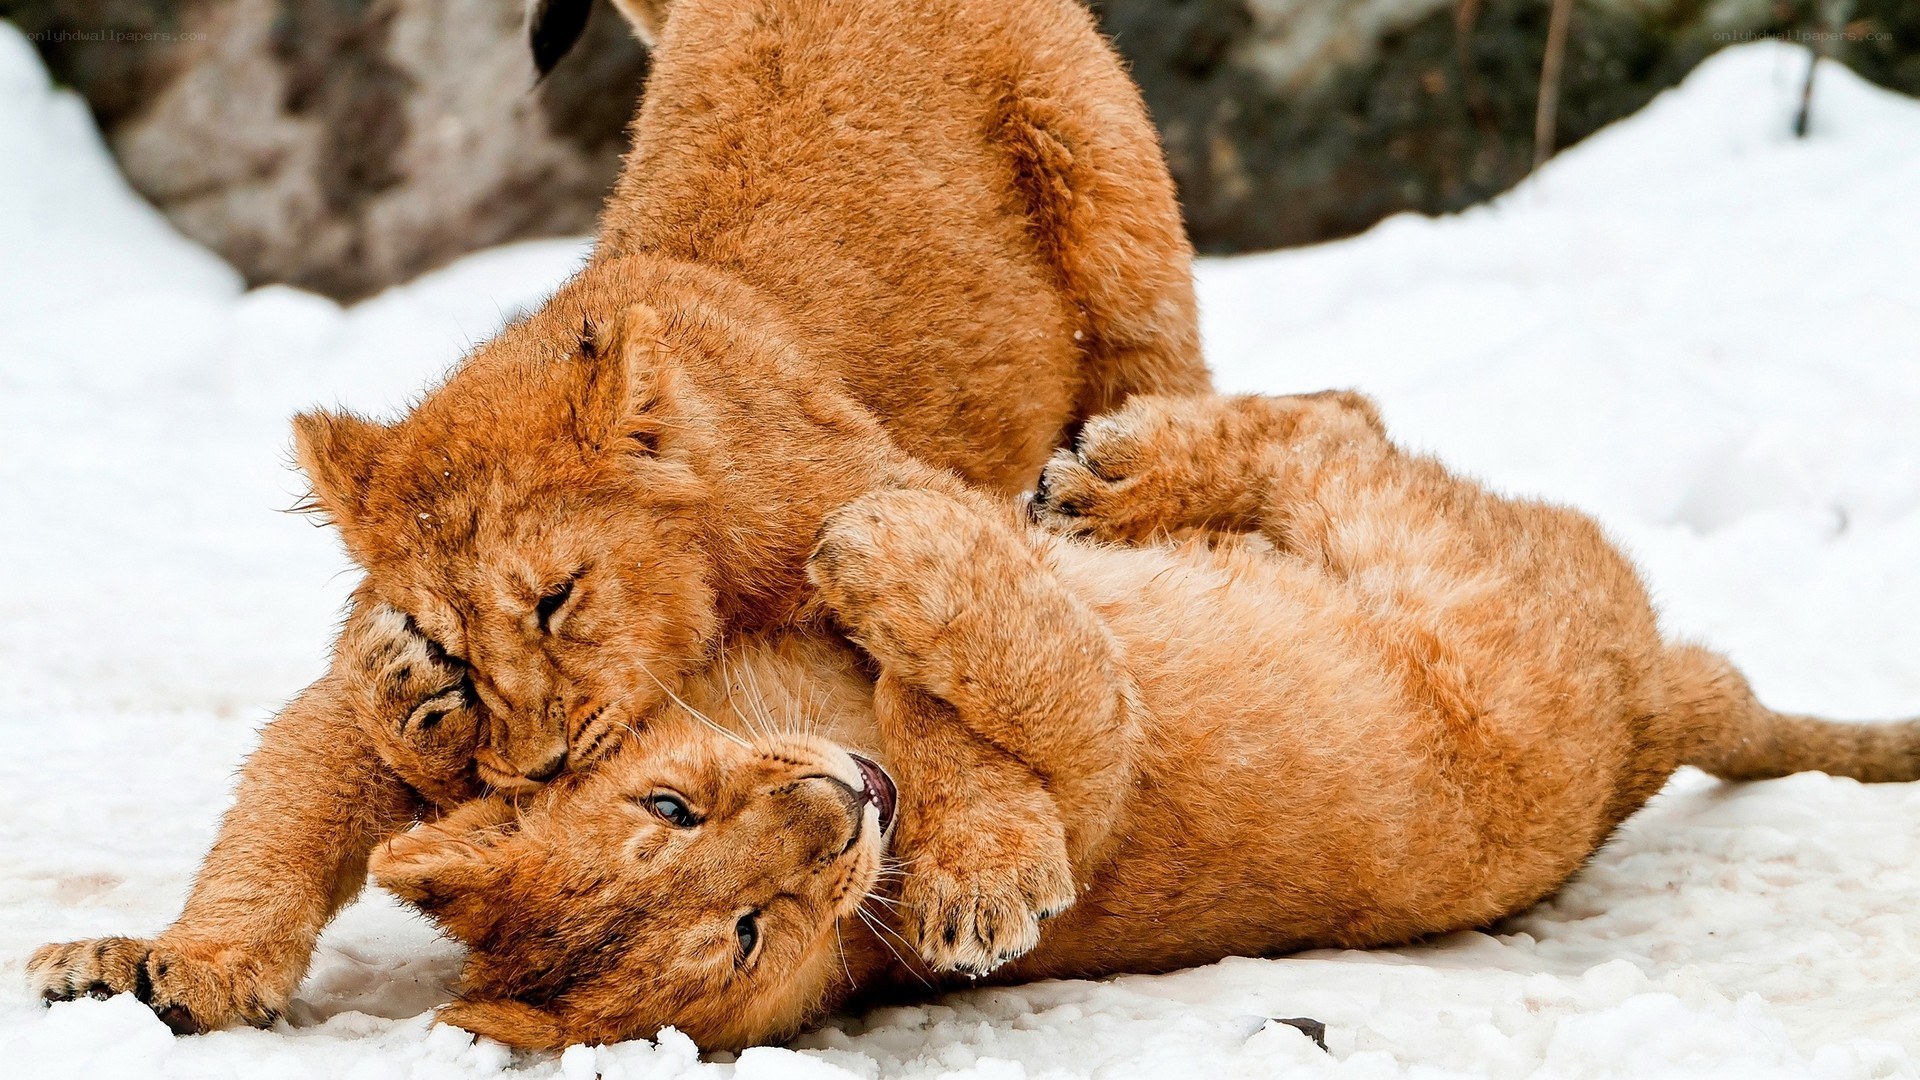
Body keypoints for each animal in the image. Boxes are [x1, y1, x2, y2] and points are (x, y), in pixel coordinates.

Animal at [29, 0, 1208, 1031]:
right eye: (455, 650)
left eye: (557, 599)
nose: (543, 764)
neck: (713, 582)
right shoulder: (356, 692)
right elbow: (284, 813)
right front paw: (181, 966)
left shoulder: (904, 500)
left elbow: (930, 690)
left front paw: (981, 873)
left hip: (1111, 220)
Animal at [365, 391, 1920, 1051]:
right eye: (746, 934)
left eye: (669, 806)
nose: (837, 807)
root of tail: (1654, 712)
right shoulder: (1109, 754)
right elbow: (1043, 693)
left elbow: (947, 699)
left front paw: (879, 551)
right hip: (1427, 566)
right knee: (1334, 442)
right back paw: (1111, 477)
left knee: (1337, 409)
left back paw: (1105, 469)